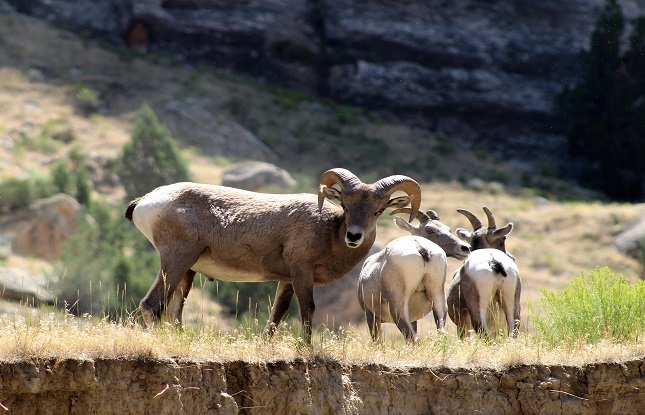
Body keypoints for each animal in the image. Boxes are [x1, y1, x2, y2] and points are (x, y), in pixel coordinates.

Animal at [124, 167, 422, 342]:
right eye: (346, 207)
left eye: (378, 211)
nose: (353, 236)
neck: (330, 232)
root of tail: (145, 201)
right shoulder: (301, 273)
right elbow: (307, 310)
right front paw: (307, 348)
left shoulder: (286, 280)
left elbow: (277, 315)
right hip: (176, 262)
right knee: (152, 305)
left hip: (187, 272)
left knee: (173, 312)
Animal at [358, 208, 468, 342]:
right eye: (429, 230)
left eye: (448, 229)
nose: (464, 248)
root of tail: (421, 248)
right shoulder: (413, 318)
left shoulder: (371, 315)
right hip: (438, 295)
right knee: (441, 332)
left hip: (399, 307)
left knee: (412, 338)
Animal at [446, 206, 520, 340]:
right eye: (503, 238)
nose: (512, 257)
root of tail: (493, 261)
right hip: (511, 303)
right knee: (513, 329)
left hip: (479, 309)